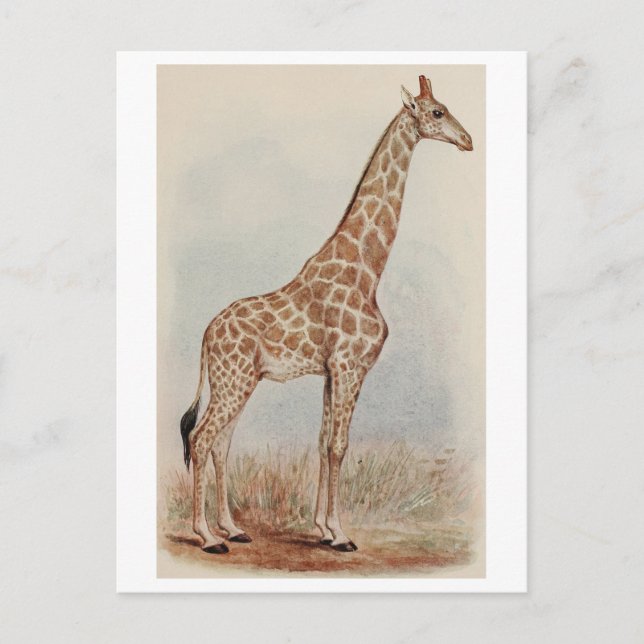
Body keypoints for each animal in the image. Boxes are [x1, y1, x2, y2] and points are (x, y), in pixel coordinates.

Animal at [180, 75, 473, 553]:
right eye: (436, 112)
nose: (468, 140)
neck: (367, 271)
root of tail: (205, 335)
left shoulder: (331, 372)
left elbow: (322, 444)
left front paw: (321, 529)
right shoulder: (351, 365)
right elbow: (338, 445)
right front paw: (340, 535)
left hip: (238, 382)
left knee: (219, 443)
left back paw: (233, 529)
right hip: (232, 382)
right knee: (201, 438)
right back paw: (206, 536)